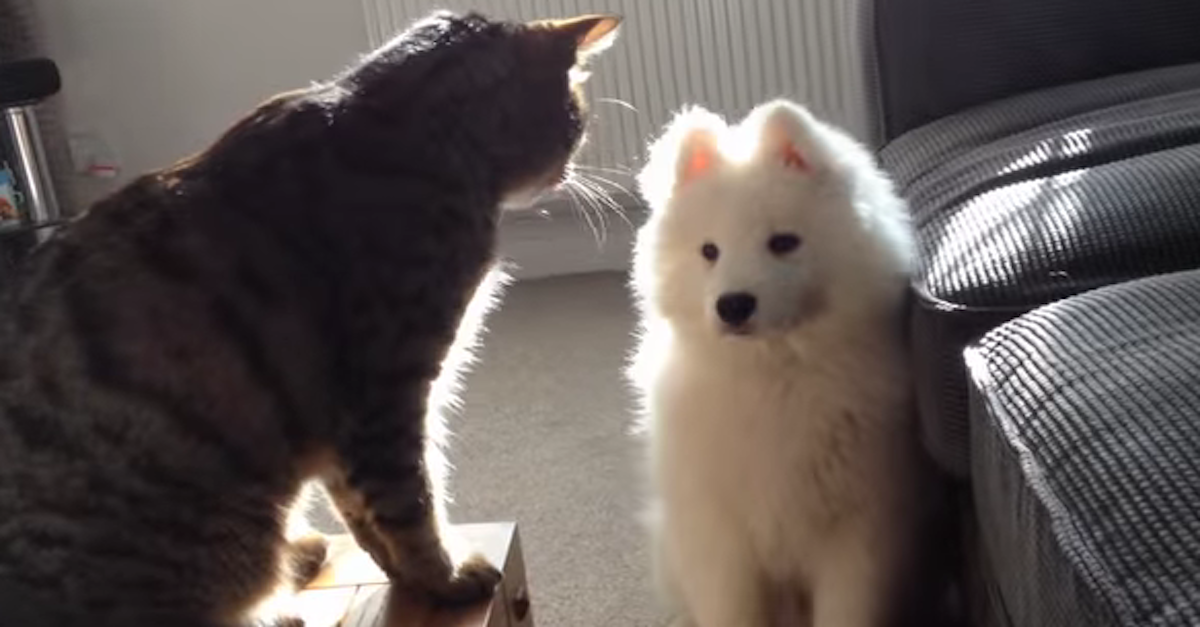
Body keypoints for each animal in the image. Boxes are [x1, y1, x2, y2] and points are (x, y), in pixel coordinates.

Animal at [0, 10, 619, 624]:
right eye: (575, 122)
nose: (571, 168)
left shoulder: (337, 420)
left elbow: (365, 516)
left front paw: (408, 576)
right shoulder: (386, 395)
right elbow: (411, 504)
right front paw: (442, 578)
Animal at [628, 100, 945, 624]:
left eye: (783, 242)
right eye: (709, 251)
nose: (733, 305)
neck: (773, 374)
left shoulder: (860, 532)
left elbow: (846, 612)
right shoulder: (720, 539)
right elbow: (731, 612)